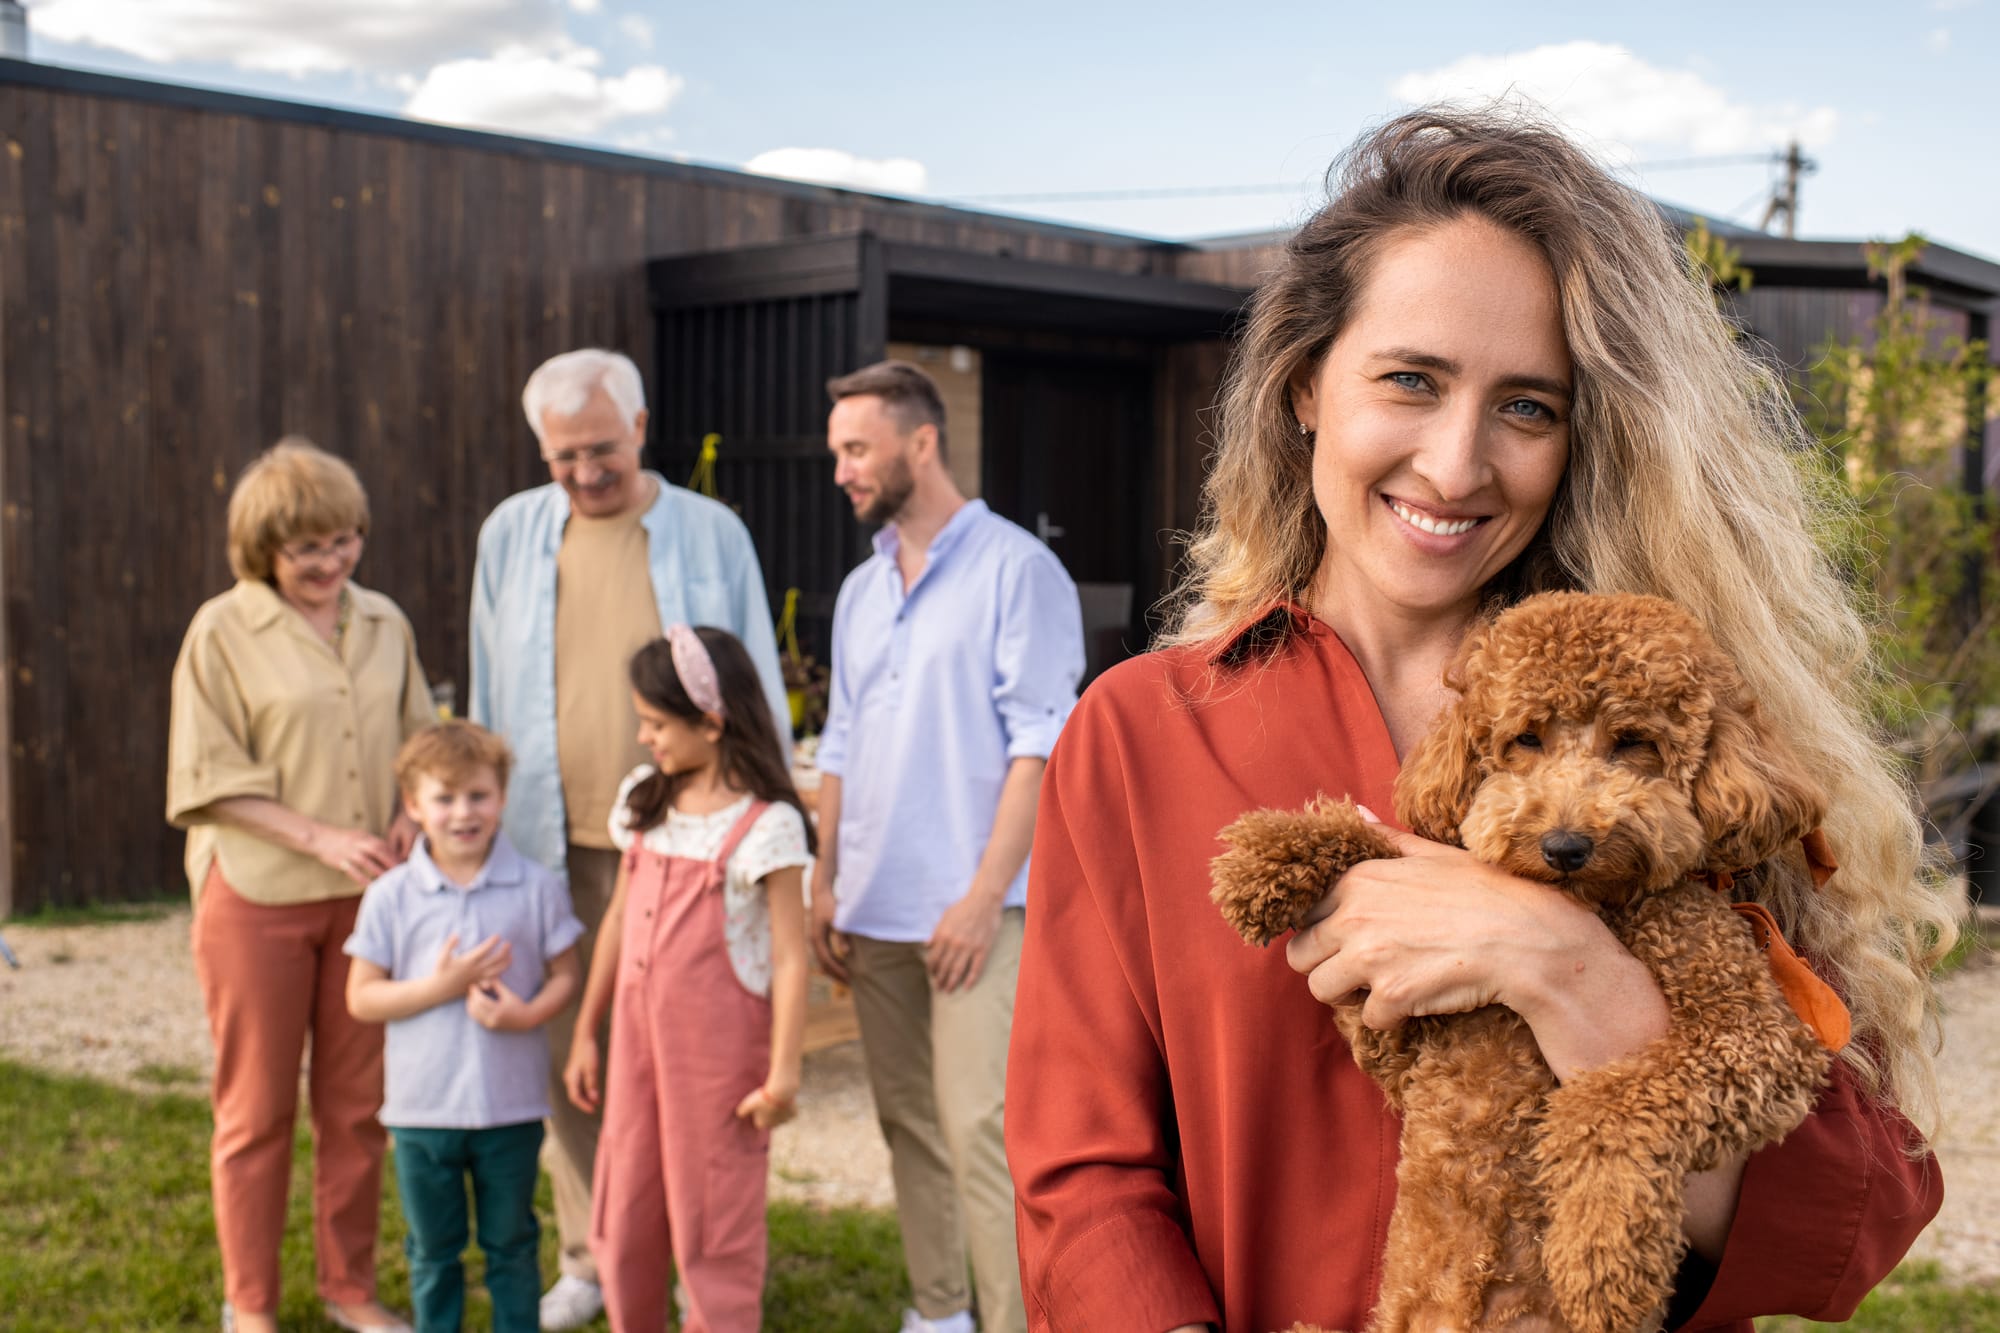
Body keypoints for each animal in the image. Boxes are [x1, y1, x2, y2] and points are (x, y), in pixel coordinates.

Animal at [1208, 592, 1832, 1328]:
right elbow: (1378, 844)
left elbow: (1609, 1104)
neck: (1599, 905)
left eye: (1634, 742)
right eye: (1526, 740)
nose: (1565, 844)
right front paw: (1274, 853)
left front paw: (1601, 1256)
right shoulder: (1404, 1048)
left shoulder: (1753, 1033)